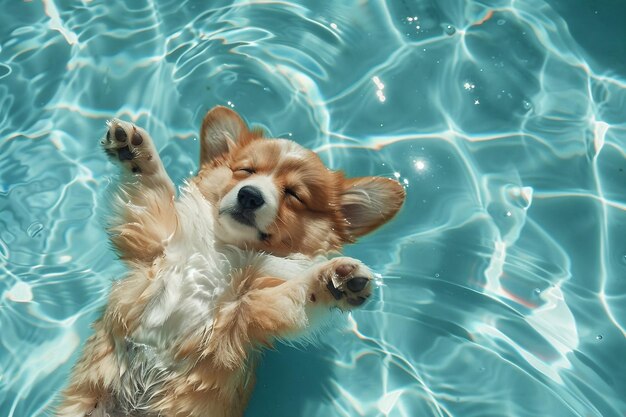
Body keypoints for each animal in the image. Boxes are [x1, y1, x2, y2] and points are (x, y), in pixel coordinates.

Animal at [58, 106, 404, 416]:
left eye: (294, 194)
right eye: (246, 171)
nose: (250, 195)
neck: (224, 248)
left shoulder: (250, 309)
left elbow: (299, 292)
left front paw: (337, 279)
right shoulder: (157, 238)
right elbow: (154, 187)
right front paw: (136, 150)